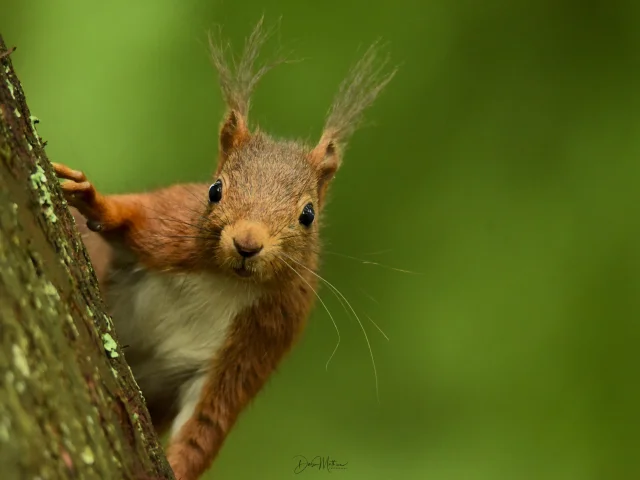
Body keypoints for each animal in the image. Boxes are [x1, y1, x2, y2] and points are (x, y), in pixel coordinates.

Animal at [52, 18, 396, 480]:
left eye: (308, 214)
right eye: (214, 190)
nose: (247, 243)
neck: (224, 280)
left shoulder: (258, 341)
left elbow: (207, 424)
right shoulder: (168, 226)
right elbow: (131, 216)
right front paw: (91, 198)